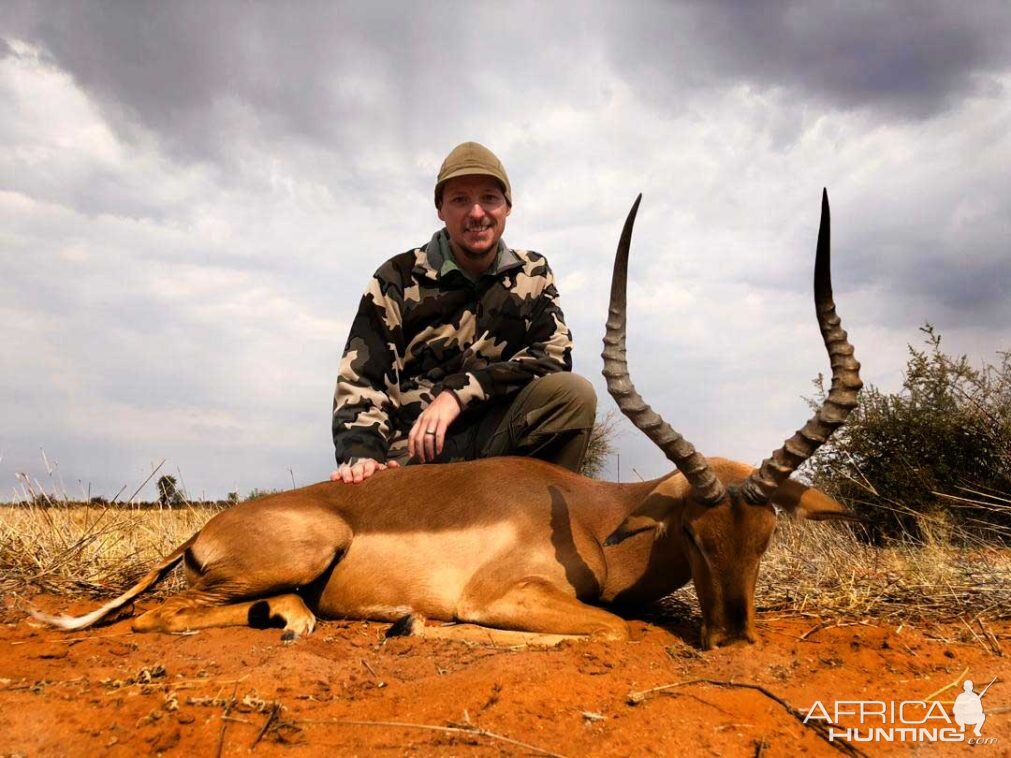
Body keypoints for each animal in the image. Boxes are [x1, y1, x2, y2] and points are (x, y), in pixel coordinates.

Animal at [35, 193, 865, 650]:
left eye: (765, 538)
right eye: (693, 532)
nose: (734, 639)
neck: (591, 521)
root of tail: (205, 529)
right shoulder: (506, 596)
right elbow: (610, 626)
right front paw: (417, 624)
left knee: (270, 613)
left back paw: (292, 621)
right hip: (302, 548)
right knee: (159, 618)